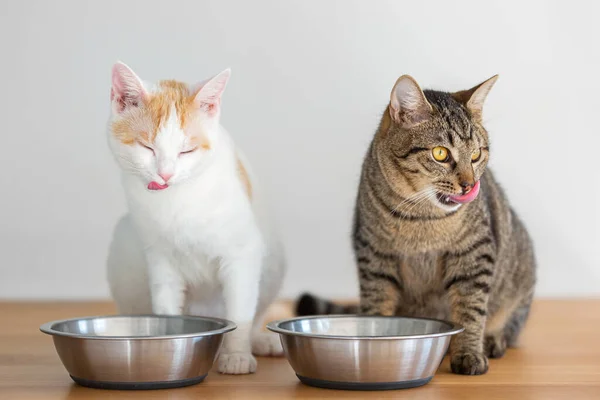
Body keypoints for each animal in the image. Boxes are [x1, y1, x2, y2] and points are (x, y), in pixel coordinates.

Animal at [105, 61, 286, 374]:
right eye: (147, 147)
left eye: (186, 150)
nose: (165, 174)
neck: (177, 200)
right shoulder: (160, 259)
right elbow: (166, 308)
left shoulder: (242, 254)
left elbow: (241, 311)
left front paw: (236, 354)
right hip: (124, 250)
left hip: (274, 262)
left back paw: (261, 342)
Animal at [298, 74, 536, 376]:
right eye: (440, 153)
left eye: (476, 155)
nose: (469, 184)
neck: (420, 218)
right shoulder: (374, 256)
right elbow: (377, 305)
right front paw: (373, 340)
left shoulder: (474, 253)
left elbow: (470, 309)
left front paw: (469, 353)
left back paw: (493, 339)